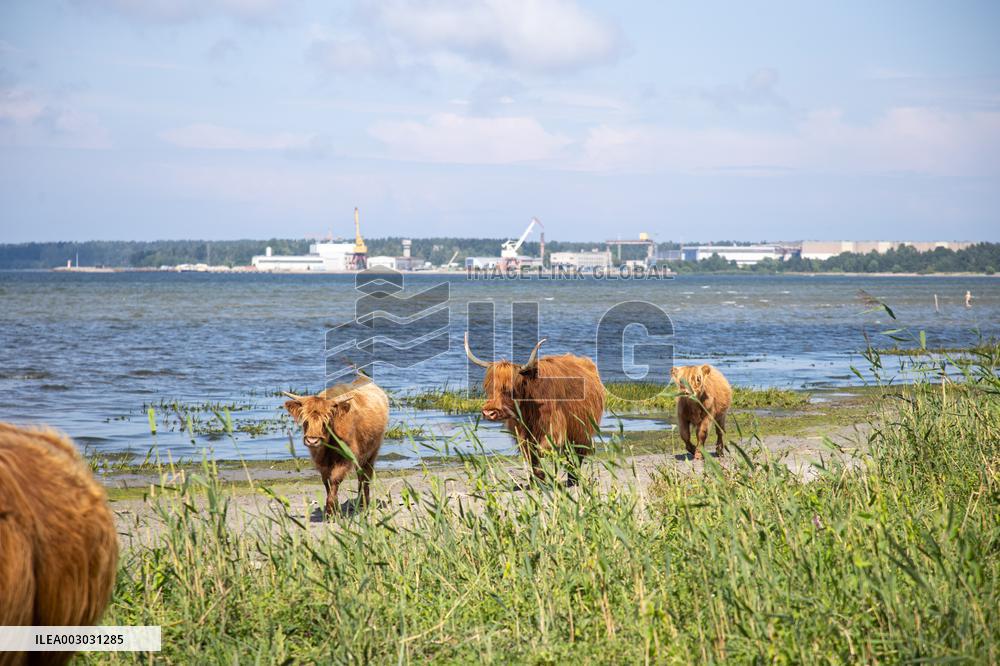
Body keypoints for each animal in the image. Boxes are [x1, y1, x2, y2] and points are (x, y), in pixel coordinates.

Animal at [283, 376, 389, 517]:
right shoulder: (321, 462)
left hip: (372, 452)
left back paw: (363, 503)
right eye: (305, 420)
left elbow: (335, 480)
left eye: (326, 420)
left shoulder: (345, 458)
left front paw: (331, 510)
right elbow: (327, 482)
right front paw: (333, 508)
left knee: (365, 475)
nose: (312, 441)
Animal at [465, 333, 605, 486]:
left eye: (510, 389)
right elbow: (532, 456)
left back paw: (572, 480)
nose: (489, 412)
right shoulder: (522, 434)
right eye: (489, 387)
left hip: (582, 429)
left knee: (575, 455)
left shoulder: (553, 429)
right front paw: (537, 480)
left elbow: (543, 451)